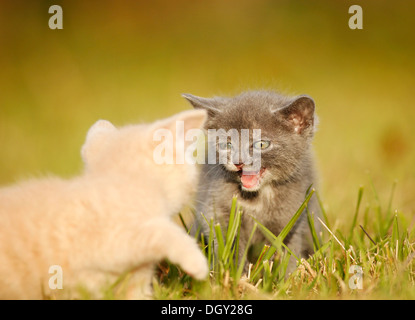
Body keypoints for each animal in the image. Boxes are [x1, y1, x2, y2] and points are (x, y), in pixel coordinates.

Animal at [183, 90, 322, 272]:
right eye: (227, 145)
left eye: (261, 144)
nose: (238, 162)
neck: (257, 196)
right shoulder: (216, 208)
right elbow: (228, 241)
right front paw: (234, 273)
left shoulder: (291, 216)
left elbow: (287, 249)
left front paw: (289, 275)